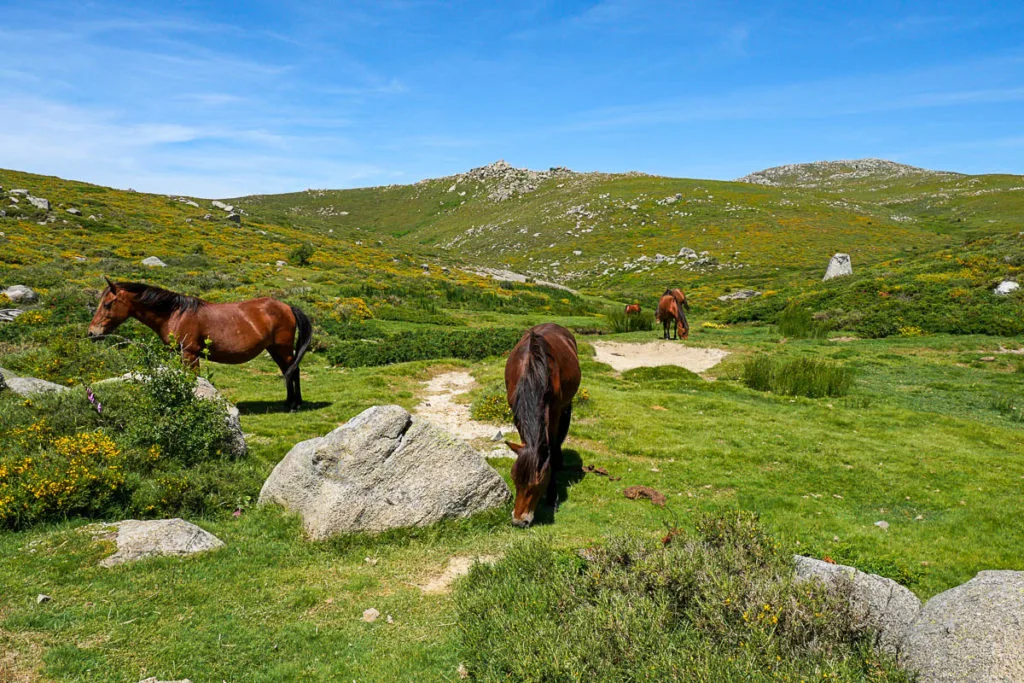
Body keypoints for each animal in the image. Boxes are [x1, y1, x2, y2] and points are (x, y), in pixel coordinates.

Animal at [87, 278, 312, 410]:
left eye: (107, 304)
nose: (92, 333)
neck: (175, 313)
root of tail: (288, 307)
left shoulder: (190, 354)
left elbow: (193, 379)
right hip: (274, 349)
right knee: (288, 370)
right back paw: (289, 402)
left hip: (282, 348)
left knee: (294, 370)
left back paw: (295, 405)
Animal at [504, 323, 580, 527]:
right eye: (514, 480)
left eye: (537, 484)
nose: (519, 521)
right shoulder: (517, 412)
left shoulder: (553, 411)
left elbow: (551, 449)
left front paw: (552, 497)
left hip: (566, 405)